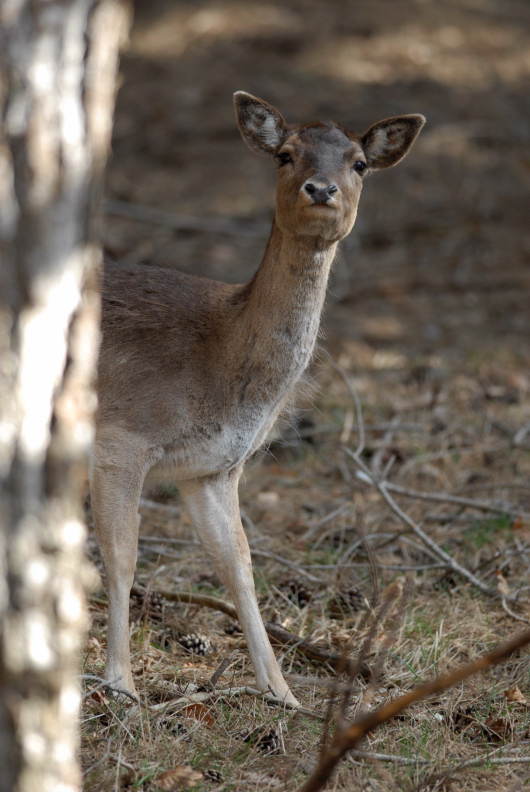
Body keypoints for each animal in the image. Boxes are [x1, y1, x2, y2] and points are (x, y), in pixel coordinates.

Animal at [89, 91, 420, 704]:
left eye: (360, 163)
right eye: (285, 154)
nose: (322, 189)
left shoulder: (213, 469)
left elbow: (239, 565)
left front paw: (282, 692)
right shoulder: (122, 436)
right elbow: (121, 559)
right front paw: (121, 685)